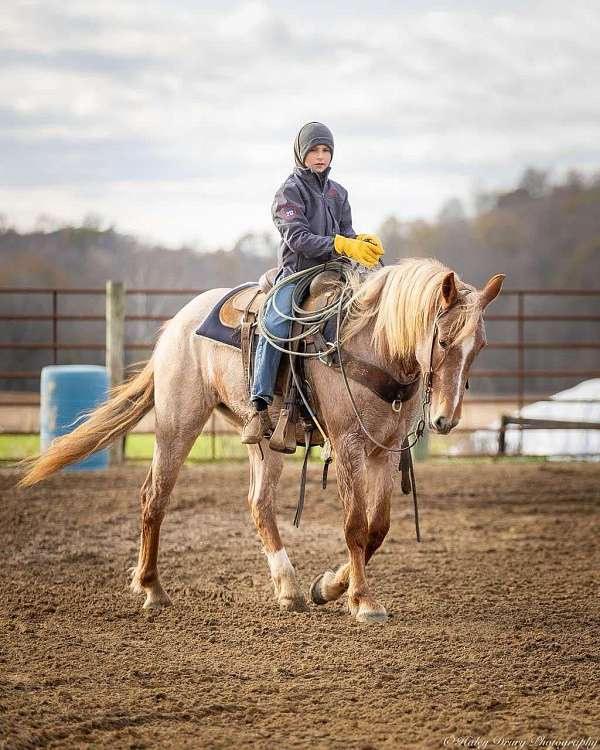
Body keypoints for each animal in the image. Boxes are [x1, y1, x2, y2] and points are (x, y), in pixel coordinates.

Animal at [17, 258, 506, 628]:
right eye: (443, 338)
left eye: (480, 345)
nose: (446, 419)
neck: (372, 345)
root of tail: (177, 324)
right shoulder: (348, 446)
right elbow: (355, 526)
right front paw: (363, 602)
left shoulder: (384, 450)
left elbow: (378, 529)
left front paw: (329, 586)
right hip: (178, 423)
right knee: (155, 495)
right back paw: (153, 588)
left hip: (265, 440)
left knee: (258, 503)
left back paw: (289, 588)